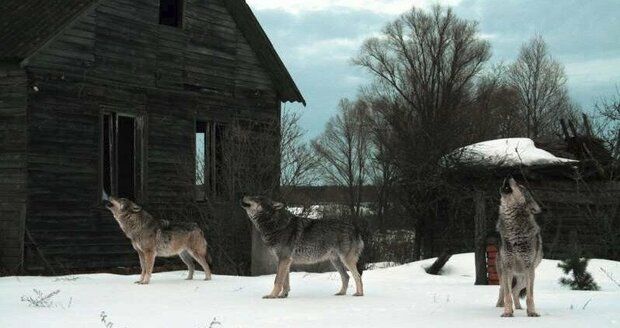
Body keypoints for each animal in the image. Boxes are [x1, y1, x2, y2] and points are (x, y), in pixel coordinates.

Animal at [494, 177, 544, 318]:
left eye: (521, 187)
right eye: (518, 184)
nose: (509, 176)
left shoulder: (528, 268)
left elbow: (530, 296)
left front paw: (532, 312)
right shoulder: (508, 267)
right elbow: (507, 295)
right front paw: (507, 312)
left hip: (524, 277)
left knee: (515, 290)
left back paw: (519, 308)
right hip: (504, 273)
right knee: (503, 289)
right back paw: (500, 305)